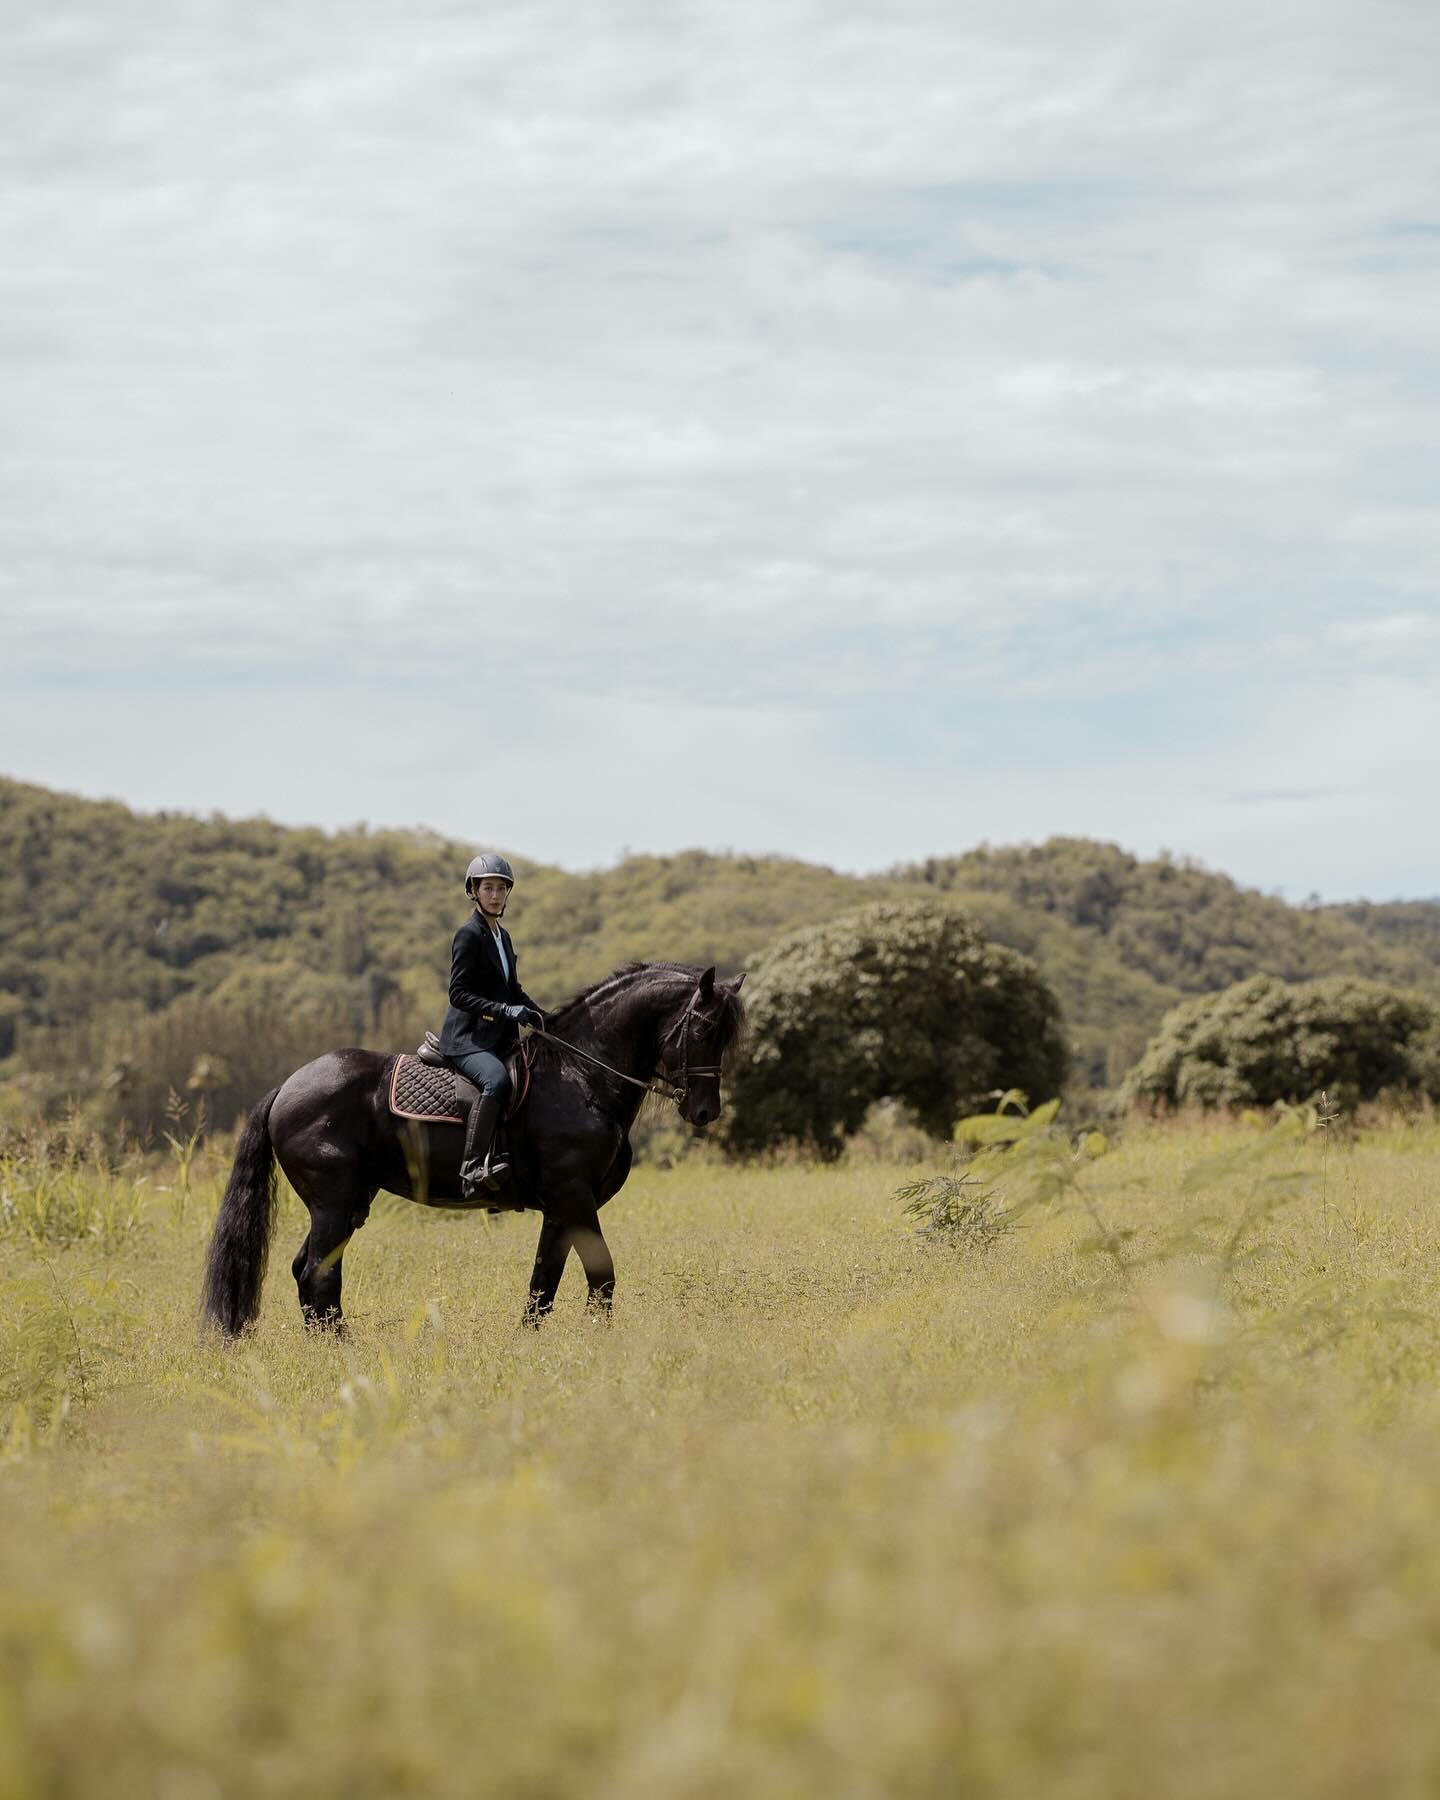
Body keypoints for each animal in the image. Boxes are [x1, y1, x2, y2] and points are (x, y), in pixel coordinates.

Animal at [199, 964, 741, 1332]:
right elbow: (600, 1275)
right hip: (332, 1202)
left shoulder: (562, 1208)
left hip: (349, 1203)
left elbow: (543, 1284)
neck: (582, 1076)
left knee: (307, 1272)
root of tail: (287, 1087)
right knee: (318, 1273)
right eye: (702, 1029)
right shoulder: (574, 1196)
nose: (704, 1113)